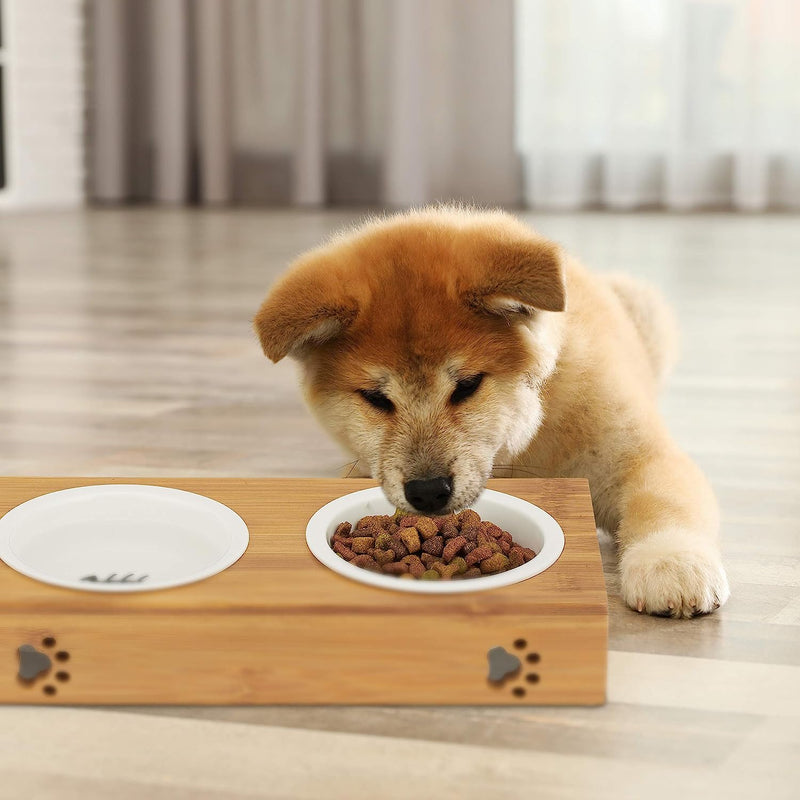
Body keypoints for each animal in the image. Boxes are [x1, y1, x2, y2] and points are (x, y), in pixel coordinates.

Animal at [253, 206, 728, 620]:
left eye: (467, 385)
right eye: (376, 398)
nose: (427, 492)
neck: (522, 447)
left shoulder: (635, 454)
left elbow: (665, 502)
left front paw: (671, 563)